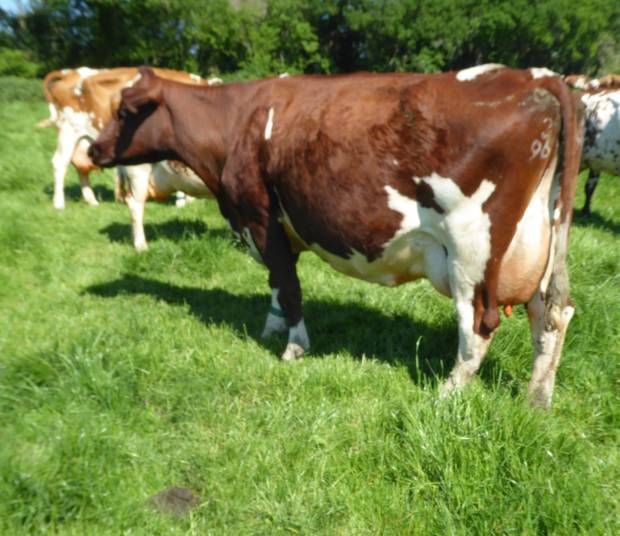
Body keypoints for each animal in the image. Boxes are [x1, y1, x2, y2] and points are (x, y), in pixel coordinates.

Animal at [89, 65, 584, 408]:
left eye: (125, 112)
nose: (93, 149)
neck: (236, 122)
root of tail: (535, 76)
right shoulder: (272, 227)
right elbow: (275, 283)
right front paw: (271, 329)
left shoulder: (260, 215)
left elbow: (289, 287)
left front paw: (293, 347)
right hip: (540, 241)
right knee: (553, 315)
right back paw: (537, 399)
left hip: (472, 246)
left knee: (480, 323)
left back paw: (447, 395)